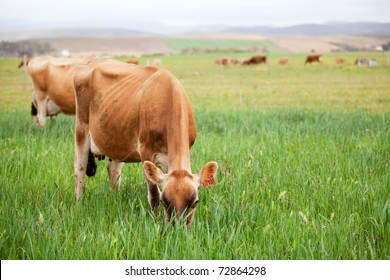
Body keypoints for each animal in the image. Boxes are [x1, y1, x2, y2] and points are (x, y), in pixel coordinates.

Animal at [72, 59, 218, 225]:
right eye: (164, 202)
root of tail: (92, 61)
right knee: (79, 169)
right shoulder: (146, 152)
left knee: (114, 171)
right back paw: (79, 204)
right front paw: (156, 220)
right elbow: (153, 193)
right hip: (81, 128)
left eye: (195, 202)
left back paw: (116, 199)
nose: (178, 228)